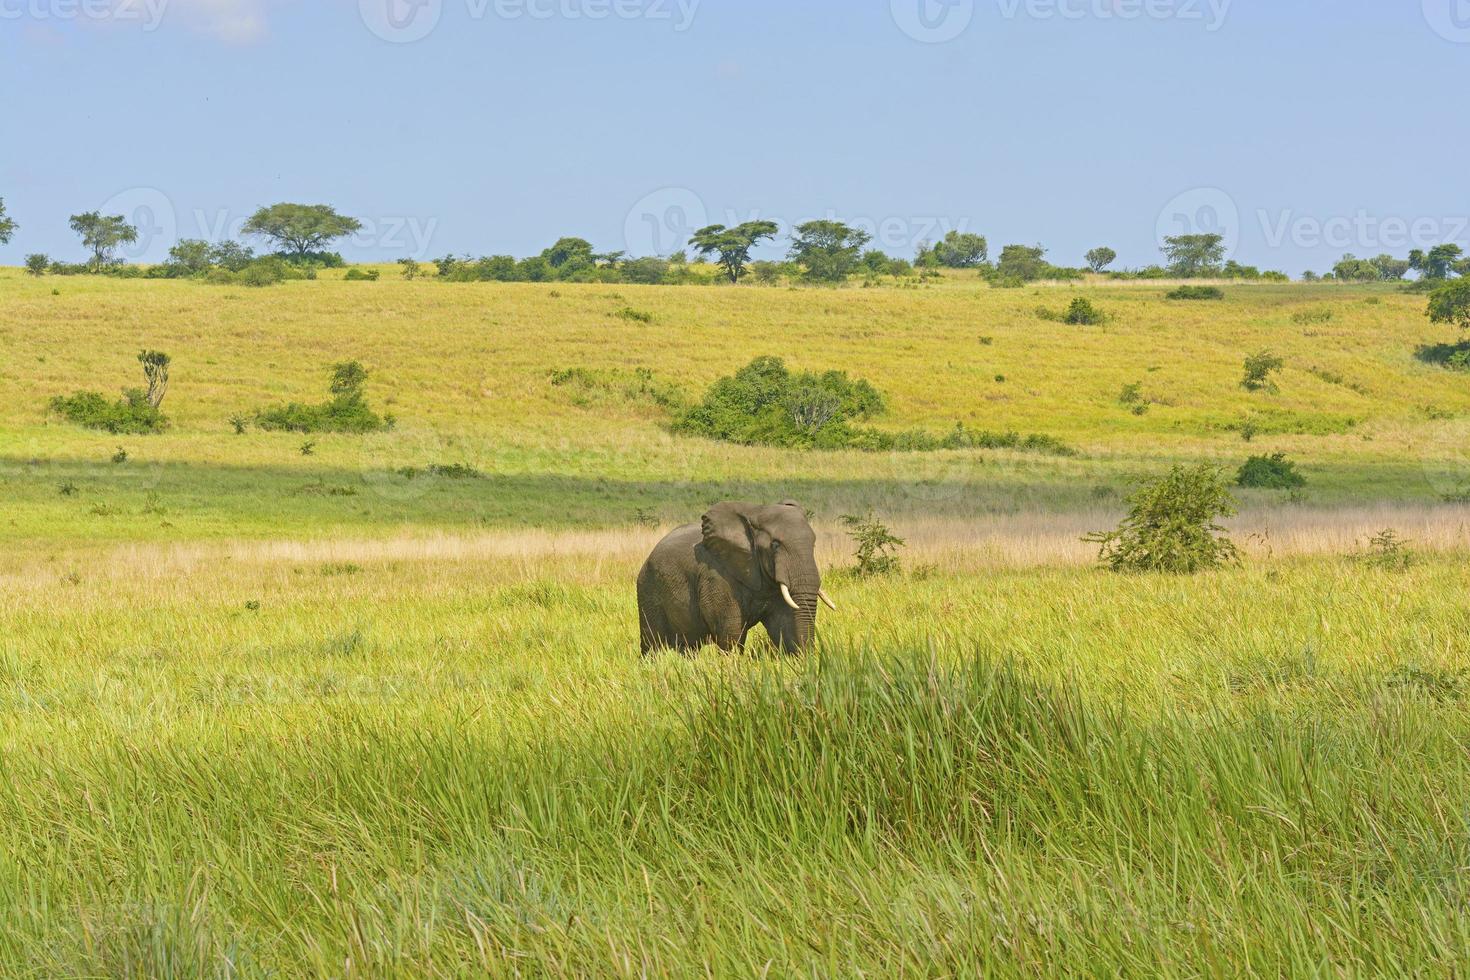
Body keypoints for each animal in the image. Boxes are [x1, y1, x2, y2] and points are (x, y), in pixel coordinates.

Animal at [635, 502, 840, 655]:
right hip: (648, 590)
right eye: (775, 545)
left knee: (689, 647)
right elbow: (730, 632)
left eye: (814, 544)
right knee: (652, 645)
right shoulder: (717, 576)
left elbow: (783, 625)